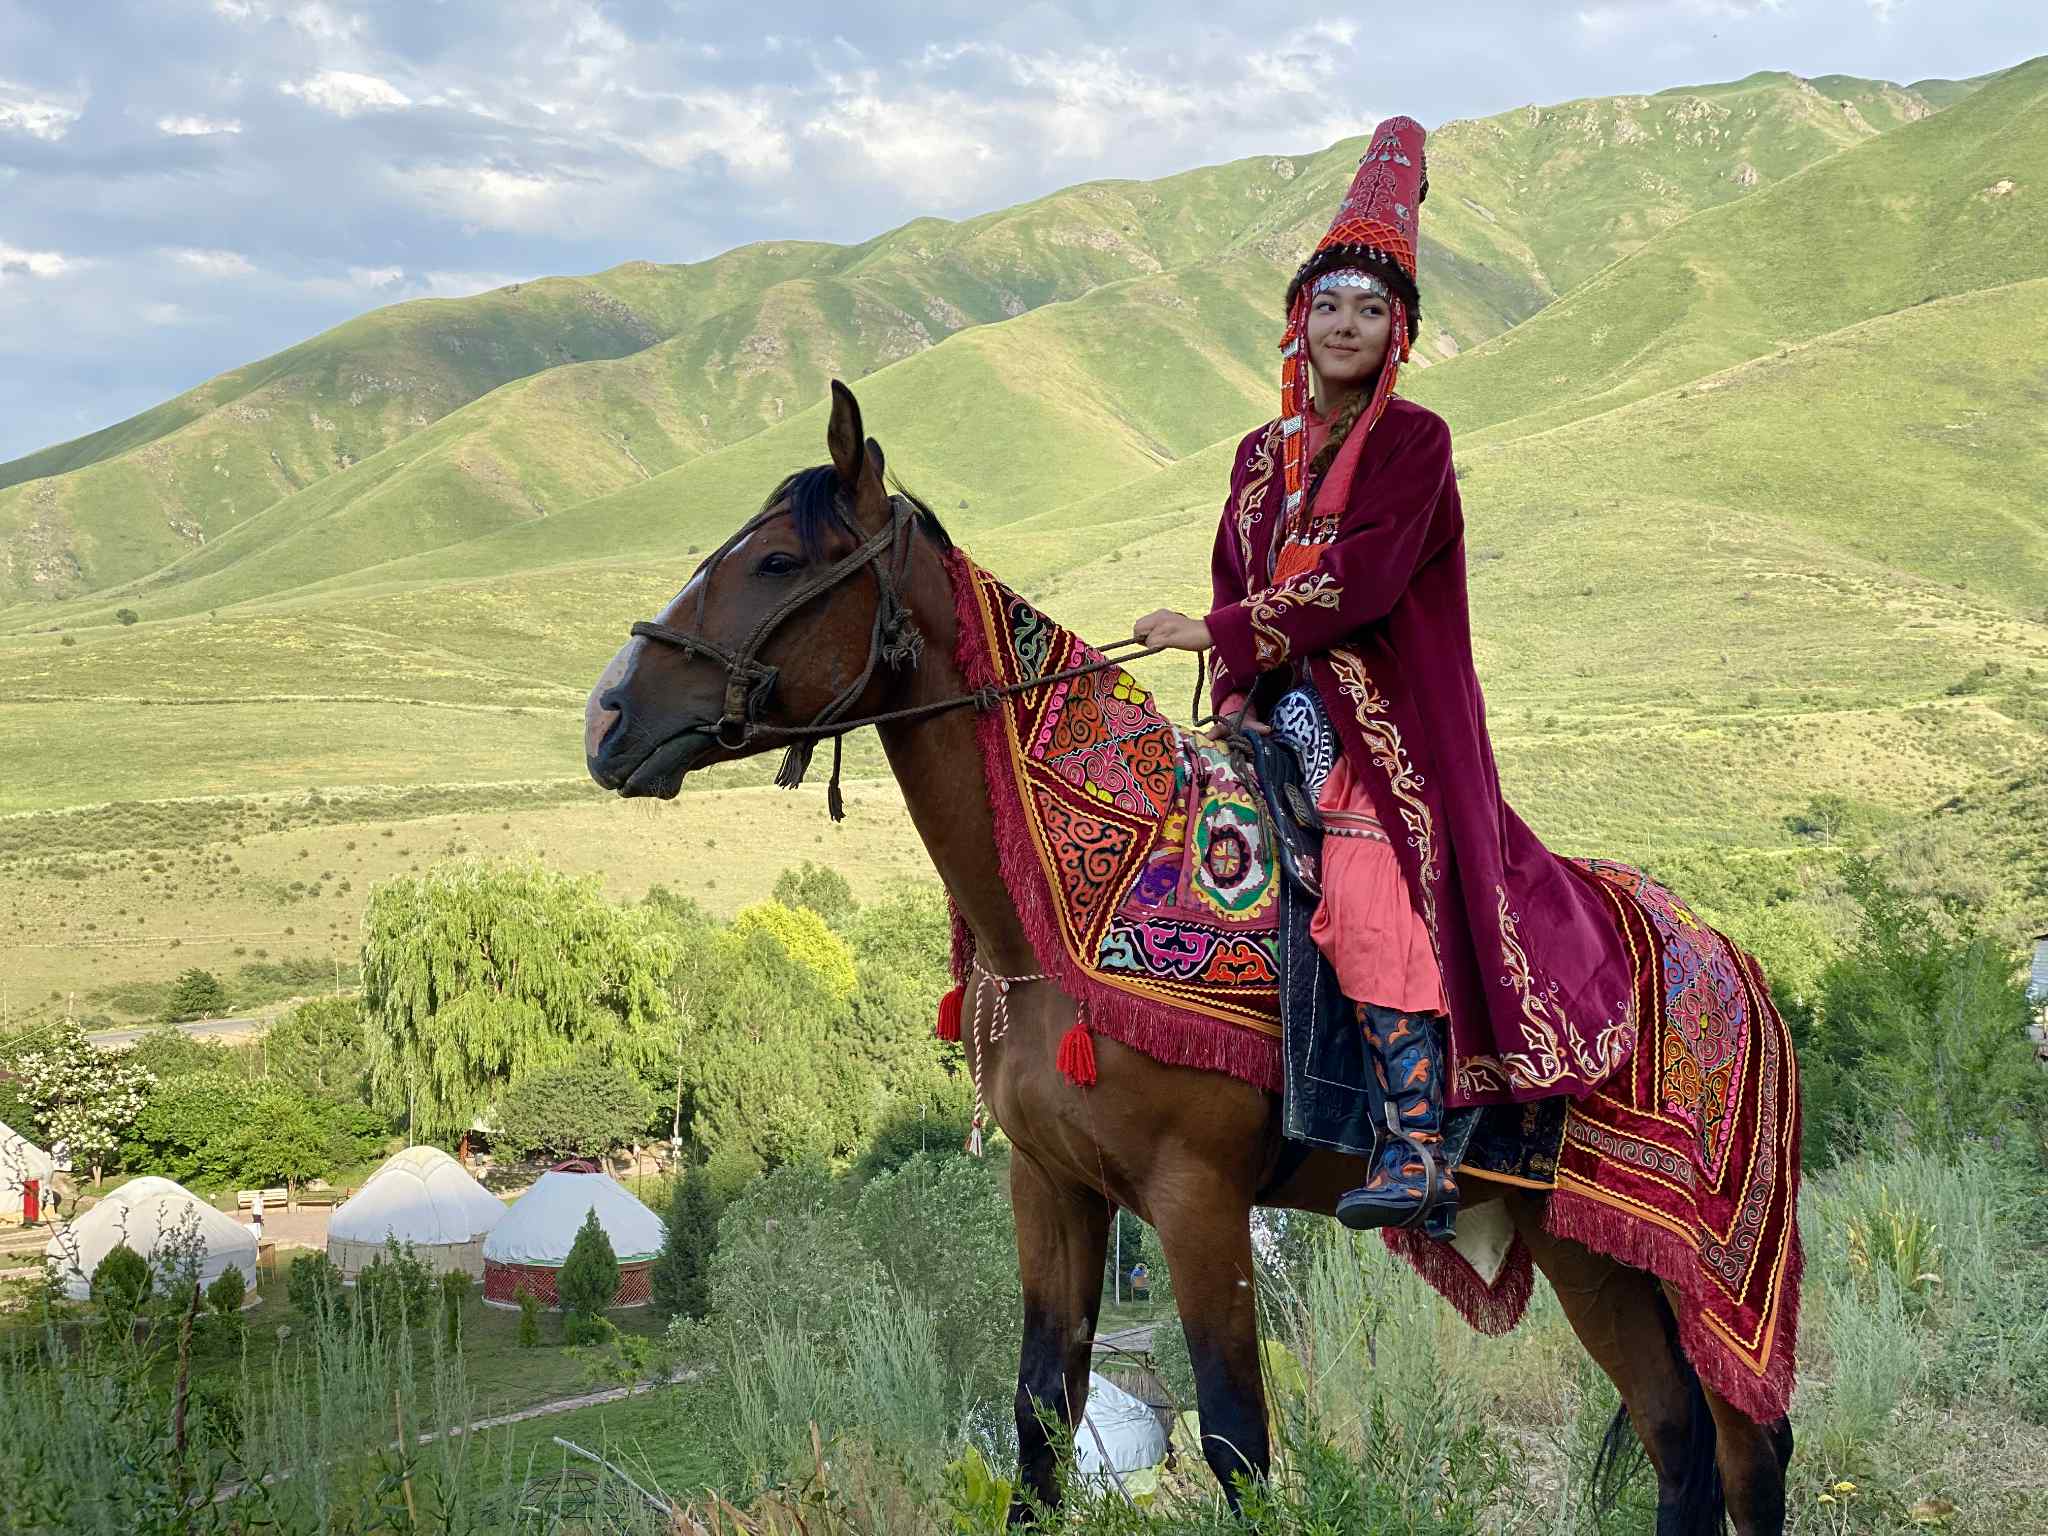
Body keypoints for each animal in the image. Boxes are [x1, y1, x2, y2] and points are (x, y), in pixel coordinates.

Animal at [584, 381, 1794, 1534]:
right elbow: (1040, 1423)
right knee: (1679, 1442)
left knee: (1742, 1451)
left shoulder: (1197, 1199)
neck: (1074, 908)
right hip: (1590, 1248)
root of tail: (1738, 970)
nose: (606, 719)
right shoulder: (1052, 1190)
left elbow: (1234, 1441)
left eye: (778, 561)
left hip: (1686, 1266)